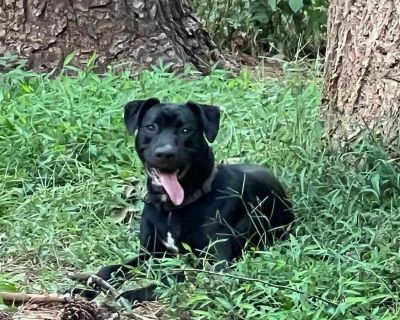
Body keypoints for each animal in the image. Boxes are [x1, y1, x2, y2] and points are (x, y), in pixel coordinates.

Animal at [72, 99, 294, 304]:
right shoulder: (150, 253)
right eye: (151, 127)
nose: (165, 153)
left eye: (186, 130)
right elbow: (111, 269)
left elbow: (173, 277)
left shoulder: (216, 264)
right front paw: (84, 289)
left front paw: (131, 293)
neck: (172, 208)